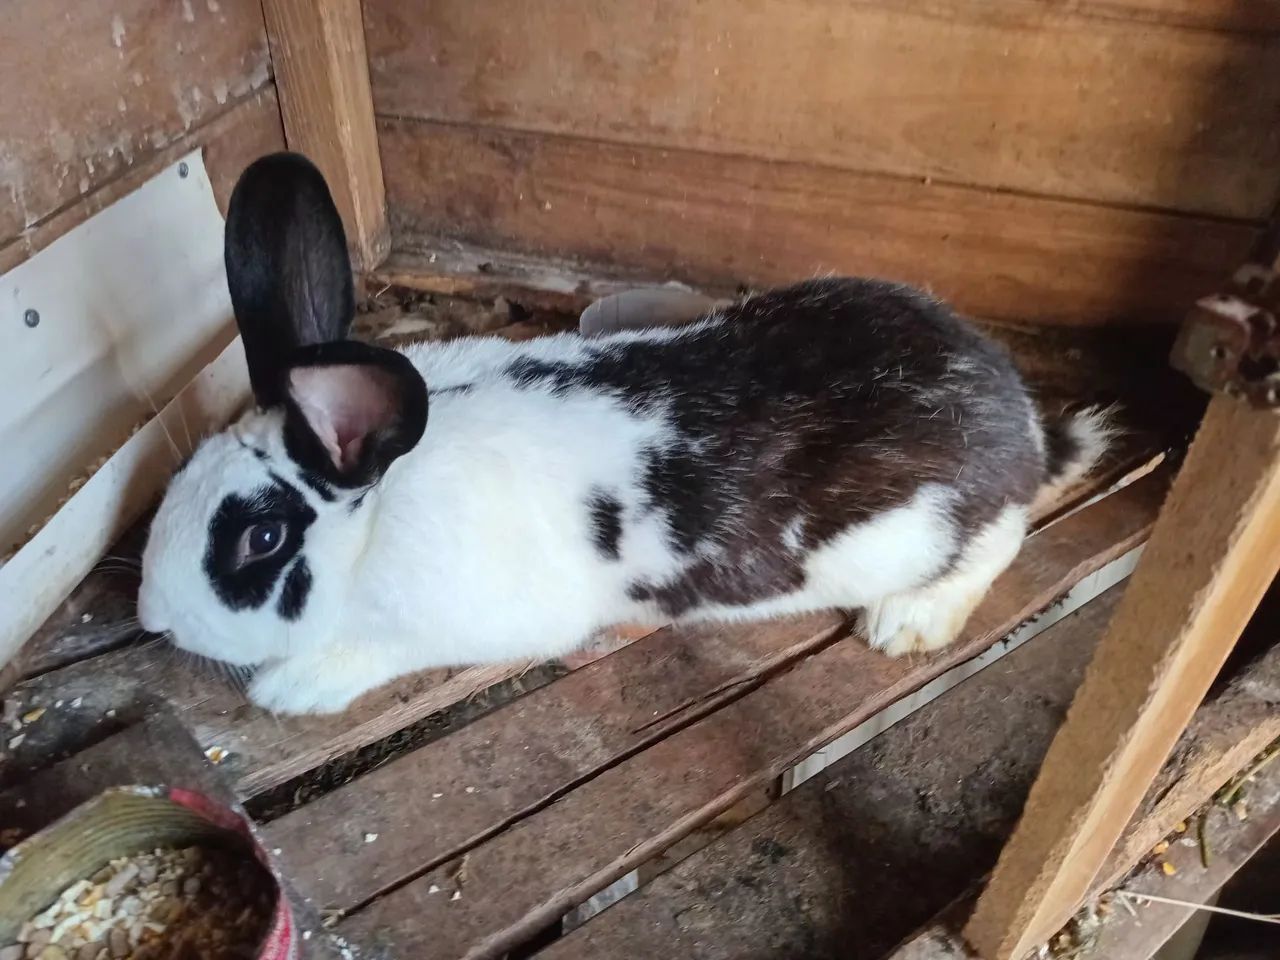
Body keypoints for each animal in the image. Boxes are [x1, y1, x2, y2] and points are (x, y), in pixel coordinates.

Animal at [137, 152, 1113, 715]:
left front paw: (293, 687)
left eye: (261, 538)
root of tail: (1021, 421)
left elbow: (381, 651)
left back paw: (906, 623)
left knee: (995, 544)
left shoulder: (473, 623)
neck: (376, 520)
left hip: (931, 530)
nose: (152, 618)